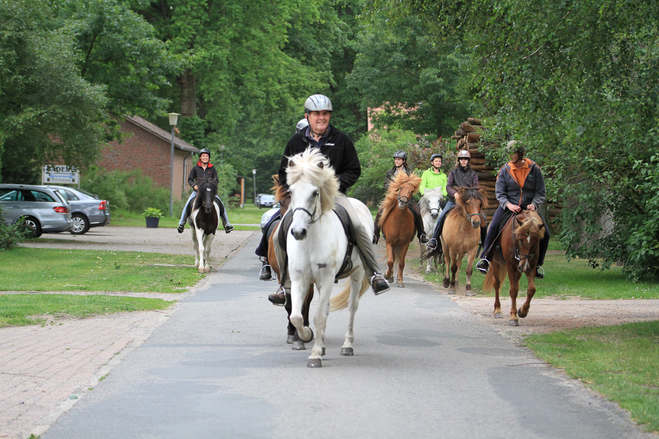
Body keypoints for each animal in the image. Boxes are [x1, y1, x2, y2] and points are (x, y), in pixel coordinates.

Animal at [276, 148, 374, 368]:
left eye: (315, 193)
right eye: (291, 192)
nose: (298, 232)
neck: (311, 241)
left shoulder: (327, 278)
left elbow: (319, 316)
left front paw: (314, 356)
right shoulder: (299, 279)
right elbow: (296, 316)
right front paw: (306, 336)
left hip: (356, 274)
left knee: (352, 306)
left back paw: (347, 345)